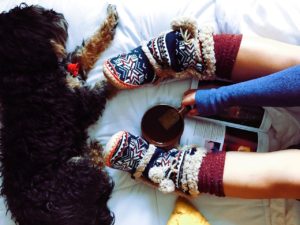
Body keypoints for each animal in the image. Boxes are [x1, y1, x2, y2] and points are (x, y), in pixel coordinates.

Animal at [0, 3, 119, 225]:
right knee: (99, 168)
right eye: (34, 16)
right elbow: (106, 84)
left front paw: (110, 21)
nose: (56, 14)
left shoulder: (72, 69)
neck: (25, 73)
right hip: (78, 168)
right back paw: (94, 149)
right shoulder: (83, 104)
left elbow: (89, 48)